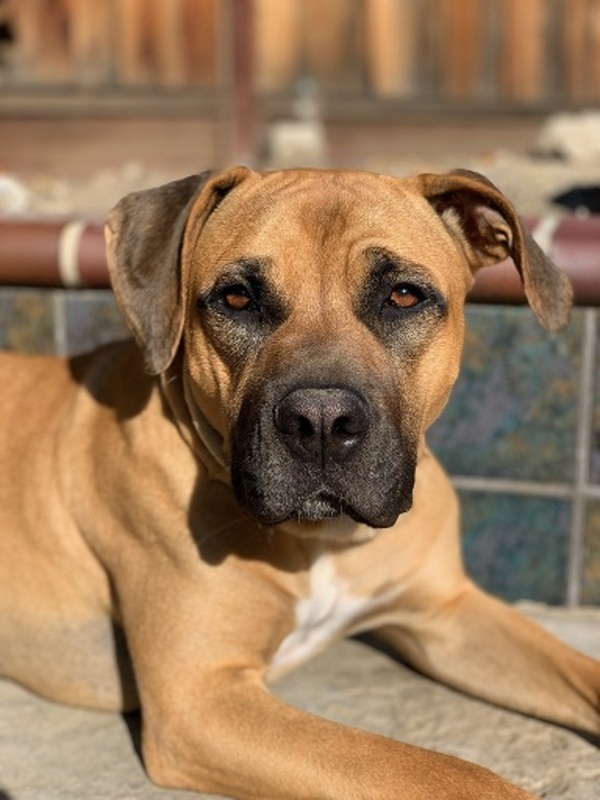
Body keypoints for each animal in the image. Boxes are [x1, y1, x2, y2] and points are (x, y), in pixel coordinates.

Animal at [0, 166, 596, 796]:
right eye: (237, 298)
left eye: (403, 296)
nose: (321, 422)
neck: (323, 539)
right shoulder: (201, 697)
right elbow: (444, 773)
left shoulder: (446, 611)